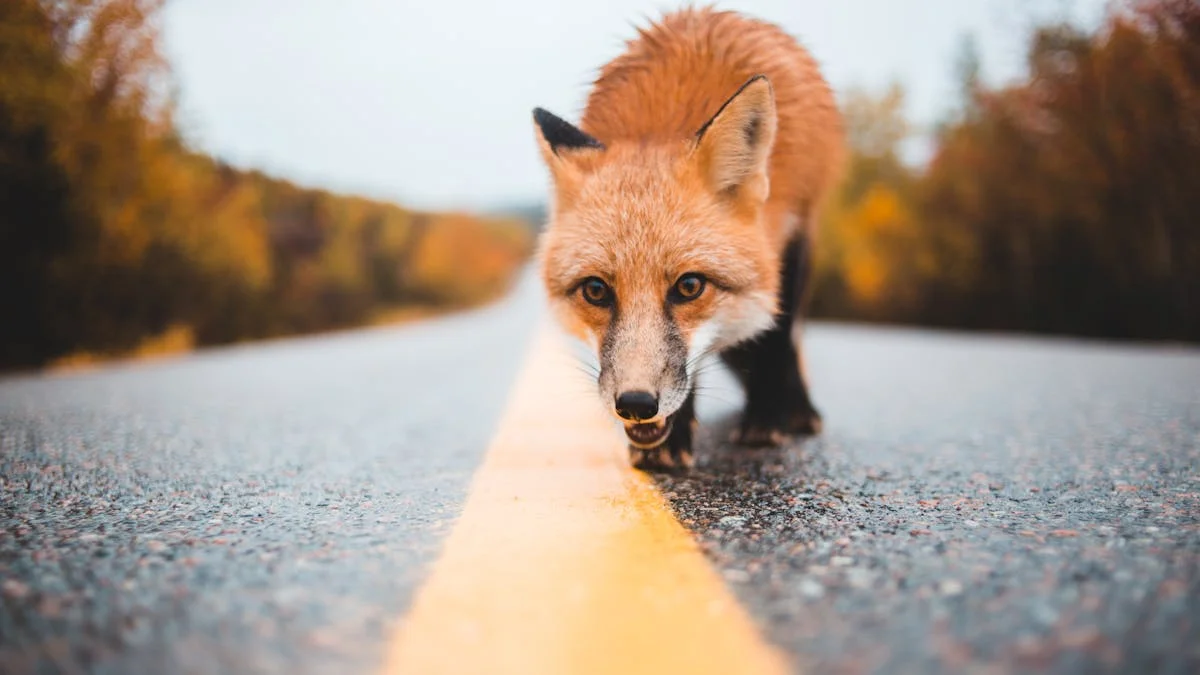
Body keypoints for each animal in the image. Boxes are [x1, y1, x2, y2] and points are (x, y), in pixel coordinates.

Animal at [530, 6, 849, 468]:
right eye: (595, 290)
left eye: (690, 286)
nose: (636, 404)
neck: (660, 122)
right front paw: (673, 439)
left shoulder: (790, 236)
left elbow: (774, 339)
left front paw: (764, 421)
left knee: (785, 338)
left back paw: (797, 410)